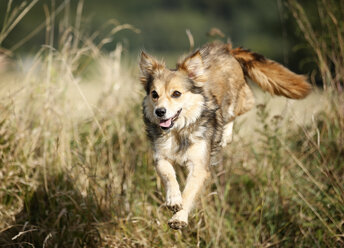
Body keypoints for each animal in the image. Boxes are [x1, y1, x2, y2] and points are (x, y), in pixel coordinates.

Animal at [138, 41, 310, 230]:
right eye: (154, 94)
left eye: (176, 93)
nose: (160, 112)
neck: (179, 131)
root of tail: (227, 49)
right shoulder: (160, 157)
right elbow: (169, 176)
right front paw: (174, 199)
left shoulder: (199, 165)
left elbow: (189, 192)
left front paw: (179, 218)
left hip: (239, 100)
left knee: (237, 111)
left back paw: (225, 134)